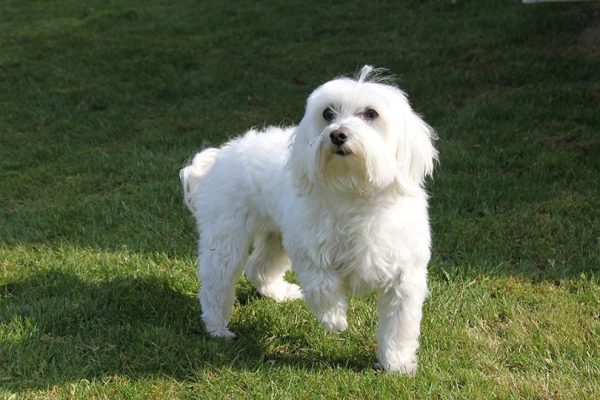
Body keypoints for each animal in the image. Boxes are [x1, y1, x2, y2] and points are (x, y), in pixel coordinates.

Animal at [178, 64, 436, 374]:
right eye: (328, 113)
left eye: (371, 114)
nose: (337, 135)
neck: (353, 192)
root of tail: (218, 157)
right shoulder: (309, 252)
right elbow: (322, 287)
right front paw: (335, 319)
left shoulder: (405, 277)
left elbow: (399, 326)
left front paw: (396, 363)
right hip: (226, 238)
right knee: (217, 282)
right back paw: (218, 328)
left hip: (275, 237)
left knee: (259, 267)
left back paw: (277, 292)